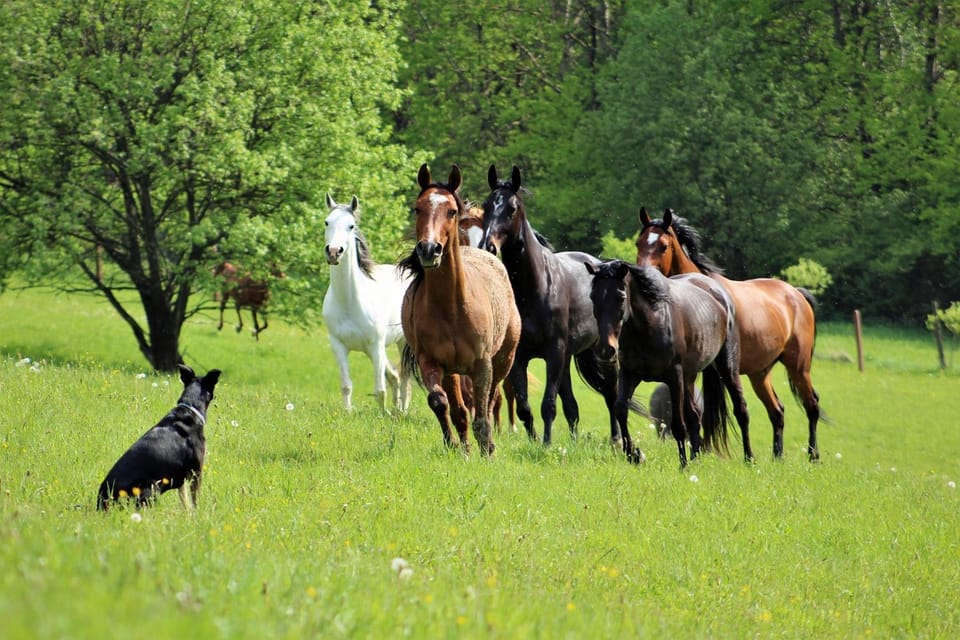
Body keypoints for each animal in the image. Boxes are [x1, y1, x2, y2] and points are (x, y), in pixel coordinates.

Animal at [323, 194, 412, 413]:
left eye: (351, 226)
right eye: (327, 222)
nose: (334, 252)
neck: (350, 302)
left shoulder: (376, 346)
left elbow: (380, 390)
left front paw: (383, 414)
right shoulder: (338, 346)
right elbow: (346, 385)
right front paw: (347, 413)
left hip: (402, 342)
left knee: (405, 378)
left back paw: (402, 411)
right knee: (395, 376)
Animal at [399, 164, 521, 455]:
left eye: (451, 211)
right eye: (417, 208)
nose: (428, 249)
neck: (452, 309)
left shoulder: (483, 363)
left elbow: (483, 411)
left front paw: (488, 450)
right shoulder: (431, 362)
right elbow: (443, 404)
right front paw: (458, 446)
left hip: (504, 359)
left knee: (492, 398)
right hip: (453, 371)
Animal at [480, 164, 628, 446]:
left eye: (511, 208)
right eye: (486, 206)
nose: (487, 246)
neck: (534, 290)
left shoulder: (553, 352)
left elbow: (548, 403)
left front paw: (546, 444)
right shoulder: (521, 357)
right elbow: (524, 407)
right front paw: (534, 440)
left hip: (602, 353)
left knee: (610, 394)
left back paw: (616, 440)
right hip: (570, 356)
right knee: (571, 405)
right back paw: (574, 441)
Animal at [586, 259, 753, 467]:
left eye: (620, 297)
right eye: (593, 297)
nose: (604, 349)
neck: (649, 325)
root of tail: (721, 295)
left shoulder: (674, 377)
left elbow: (677, 424)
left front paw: (683, 465)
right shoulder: (629, 374)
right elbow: (620, 409)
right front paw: (634, 454)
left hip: (727, 368)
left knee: (741, 410)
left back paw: (749, 458)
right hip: (689, 377)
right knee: (694, 415)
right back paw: (696, 457)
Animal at [635, 208, 821, 460]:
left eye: (663, 246)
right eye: (639, 242)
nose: (642, 276)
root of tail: (797, 294)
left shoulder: (724, 370)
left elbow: (736, 411)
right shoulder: (694, 371)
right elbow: (695, 415)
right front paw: (696, 454)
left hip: (798, 366)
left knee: (811, 404)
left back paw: (813, 455)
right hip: (760, 374)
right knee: (777, 411)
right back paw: (777, 457)